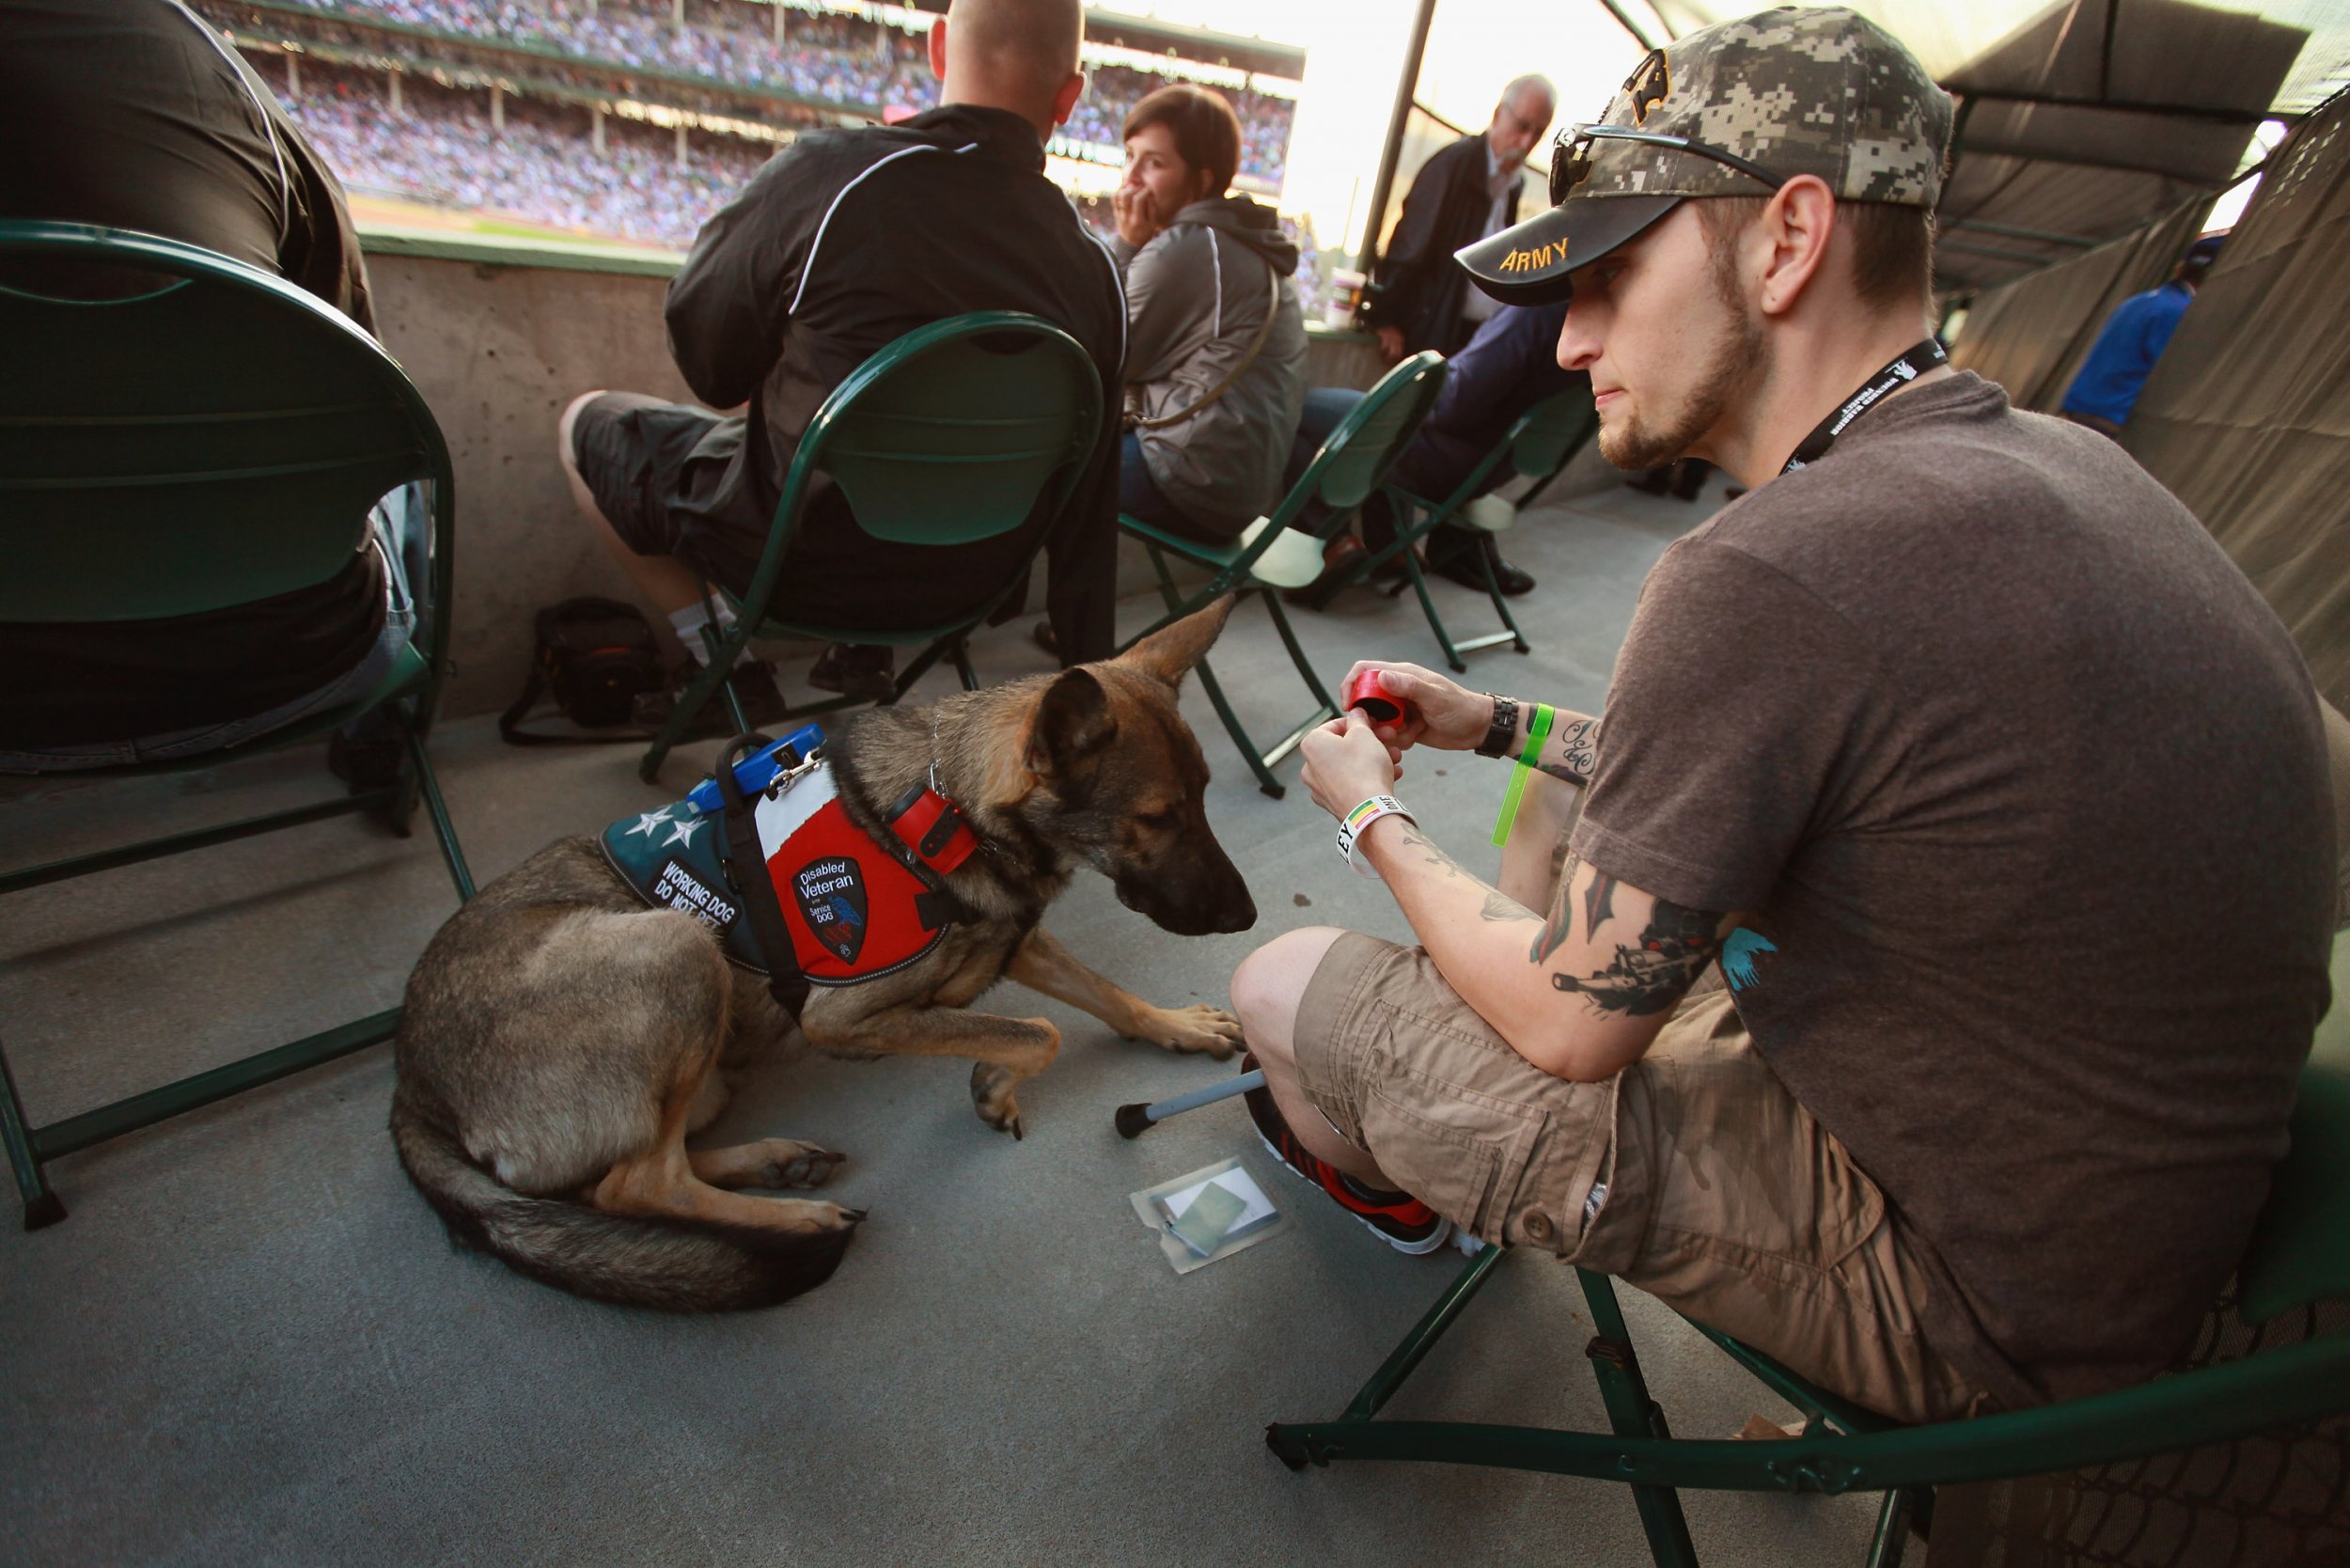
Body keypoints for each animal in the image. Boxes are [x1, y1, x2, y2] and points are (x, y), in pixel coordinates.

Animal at [395, 602, 1260, 1316]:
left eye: (1203, 796)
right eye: (1157, 817)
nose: (1246, 917)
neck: (945, 807)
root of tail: (411, 1083)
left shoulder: (1012, 936)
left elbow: (1105, 993)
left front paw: (1177, 1026)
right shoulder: (844, 1018)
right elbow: (1036, 1032)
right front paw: (993, 1080)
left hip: (702, 1058)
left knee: (653, 1165)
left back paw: (776, 1163)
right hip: (681, 946)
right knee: (635, 1181)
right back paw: (796, 1219)